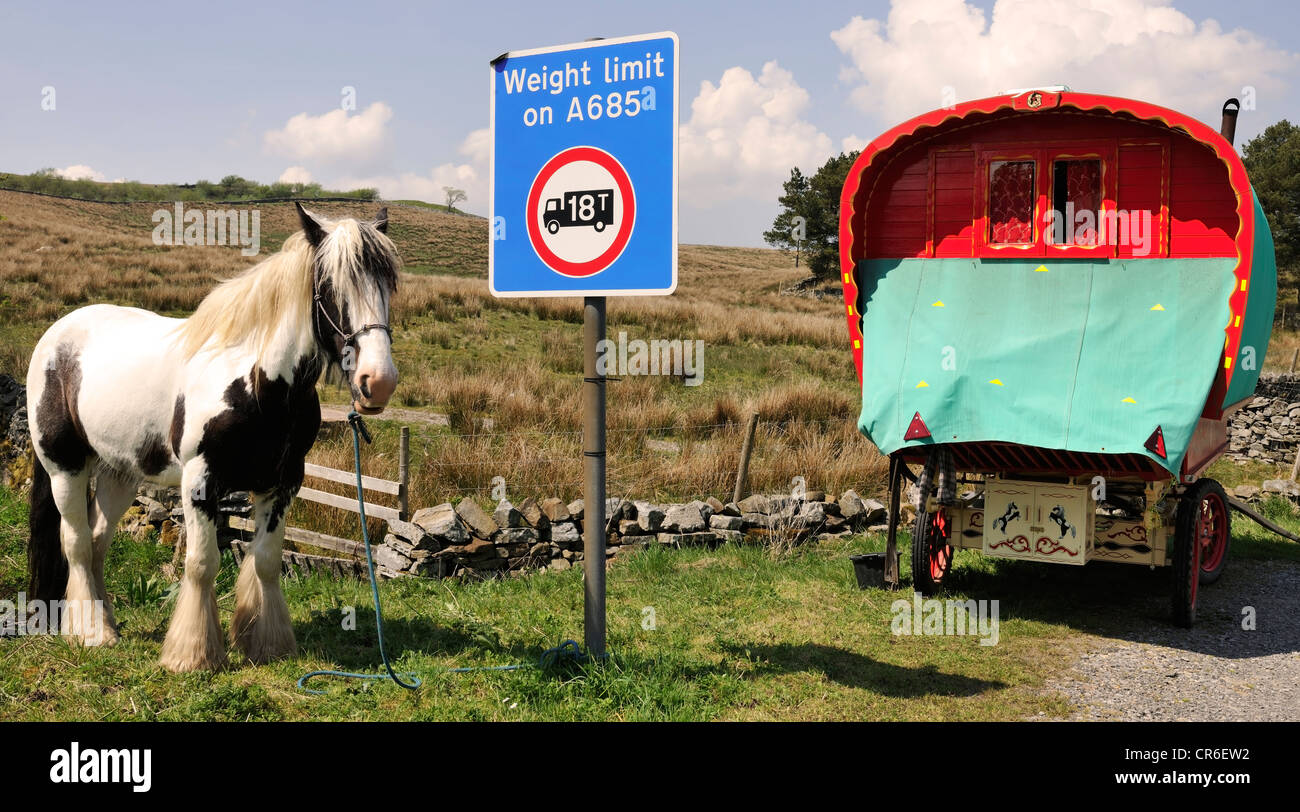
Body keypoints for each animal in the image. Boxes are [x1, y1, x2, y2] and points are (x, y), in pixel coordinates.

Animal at [25, 203, 400, 672]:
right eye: (329, 285)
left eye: (390, 282)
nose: (378, 382)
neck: (256, 384)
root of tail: (55, 336)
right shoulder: (200, 481)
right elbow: (203, 563)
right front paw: (192, 654)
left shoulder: (282, 483)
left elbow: (266, 561)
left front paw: (267, 643)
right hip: (65, 468)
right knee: (74, 543)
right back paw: (91, 632)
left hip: (120, 474)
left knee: (96, 543)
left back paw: (107, 621)